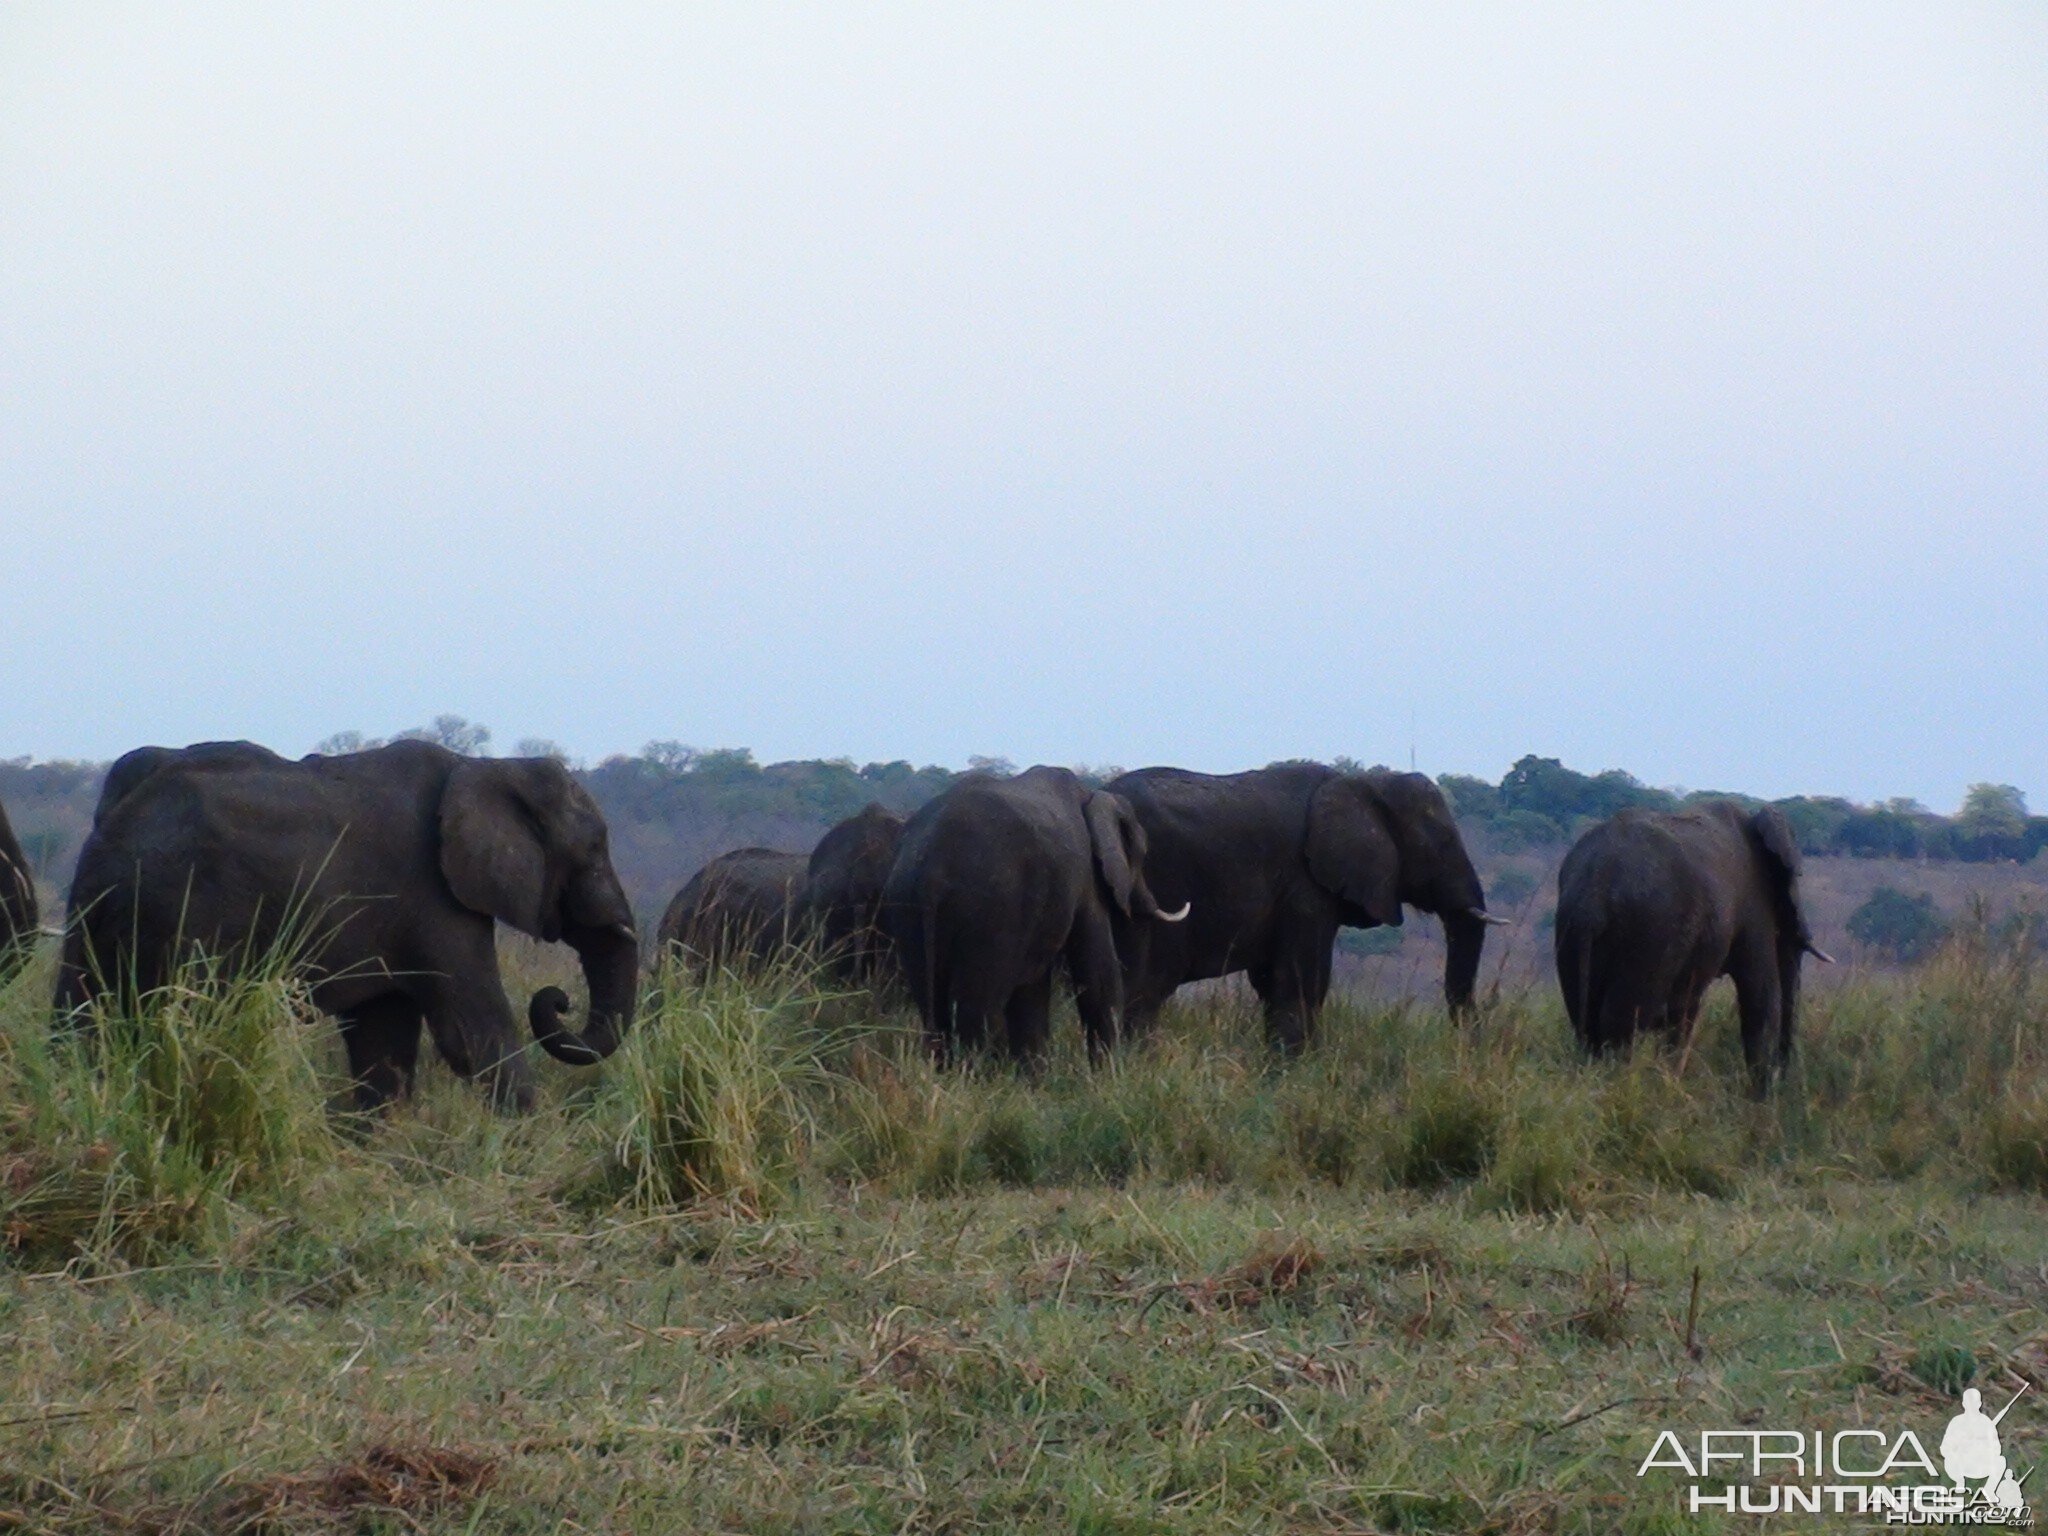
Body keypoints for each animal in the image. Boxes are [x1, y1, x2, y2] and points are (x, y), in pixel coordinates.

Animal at [59, 741, 634, 1114]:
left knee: (79, 1017)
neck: (482, 768)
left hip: (96, 910)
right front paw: (528, 1142)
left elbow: (384, 1039)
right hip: (188, 915)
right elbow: (471, 1031)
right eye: (594, 850)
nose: (558, 998)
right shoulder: (434, 896)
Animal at [876, 770, 1187, 1073]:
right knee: (979, 1007)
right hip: (992, 911)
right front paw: (1107, 1077)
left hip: (906, 906)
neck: (1092, 796)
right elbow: (1097, 969)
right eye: (1143, 854)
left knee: (933, 1004)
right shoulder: (1084, 877)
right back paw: (980, 1079)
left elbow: (1032, 987)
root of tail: (931, 869)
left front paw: (1035, 1080)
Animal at [1105, 765, 1507, 1056]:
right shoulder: (1305, 887)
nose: (1470, 1048)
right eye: (1441, 844)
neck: (1364, 784)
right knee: (1145, 989)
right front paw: (1294, 1073)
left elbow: (1272, 981)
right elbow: (1301, 980)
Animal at [1556, 798, 1835, 1089]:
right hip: (1650, 933)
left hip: (1573, 929)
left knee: (1586, 1020)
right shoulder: (1754, 905)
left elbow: (1684, 1011)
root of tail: (1593, 890)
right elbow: (1762, 996)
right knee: (1621, 1021)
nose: (1784, 1079)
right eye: (1797, 876)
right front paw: (1761, 1096)